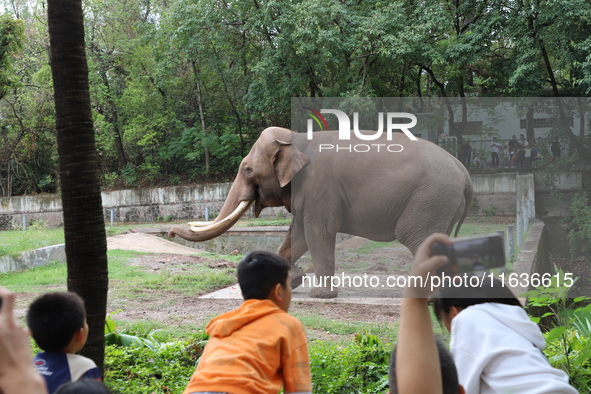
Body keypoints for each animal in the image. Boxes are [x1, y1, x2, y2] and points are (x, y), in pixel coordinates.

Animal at [169, 127, 474, 298]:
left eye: (247, 170)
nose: (171, 231)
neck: (296, 140)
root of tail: (465, 172)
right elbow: (298, 234)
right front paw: (291, 280)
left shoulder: (319, 186)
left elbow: (318, 231)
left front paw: (319, 295)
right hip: (440, 203)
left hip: (429, 199)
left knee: (415, 237)